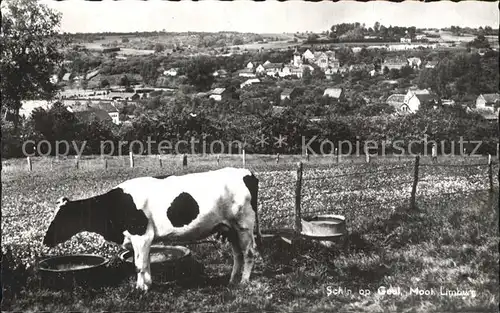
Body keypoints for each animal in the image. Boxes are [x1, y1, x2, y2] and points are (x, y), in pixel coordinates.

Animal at [44, 167, 262, 292]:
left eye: (60, 218)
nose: (45, 240)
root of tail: (247, 173)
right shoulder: (140, 239)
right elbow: (145, 263)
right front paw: (147, 285)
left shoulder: (141, 235)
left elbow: (139, 265)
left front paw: (140, 290)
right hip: (229, 228)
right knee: (237, 254)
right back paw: (231, 281)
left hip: (244, 225)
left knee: (249, 252)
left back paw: (243, 282)